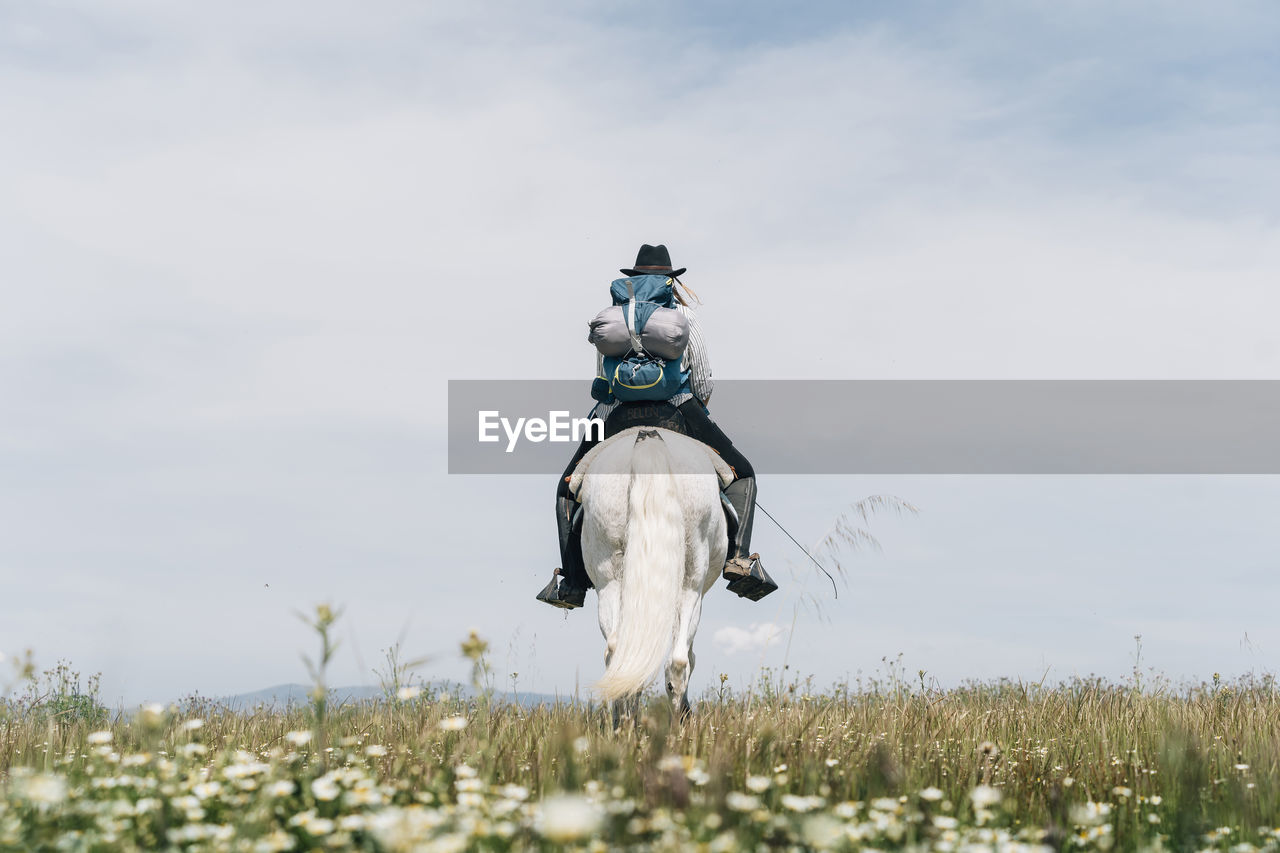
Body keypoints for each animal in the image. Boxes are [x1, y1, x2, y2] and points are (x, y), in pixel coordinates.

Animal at [570, 422, 732, 712]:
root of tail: (649, 438)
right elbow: (689, 654)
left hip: (609, 576)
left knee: (620, 655)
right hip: (691, 581)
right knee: (678, 661)